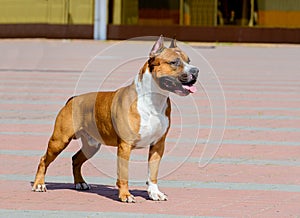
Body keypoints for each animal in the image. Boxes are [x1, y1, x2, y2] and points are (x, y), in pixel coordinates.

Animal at [32, 35, 199, 203]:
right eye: (174, 62)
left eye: (189, 61)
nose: (196, 70)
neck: (154, 99)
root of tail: (73, 99)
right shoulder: (125, 145)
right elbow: (124, 173)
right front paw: (125, 195)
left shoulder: (158, 145)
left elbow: (153, 172)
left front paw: (154, 193)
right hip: (59, 140)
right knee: (44, 159)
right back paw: (39, 184)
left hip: (91, 145)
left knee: (76, 159)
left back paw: (80, 183)